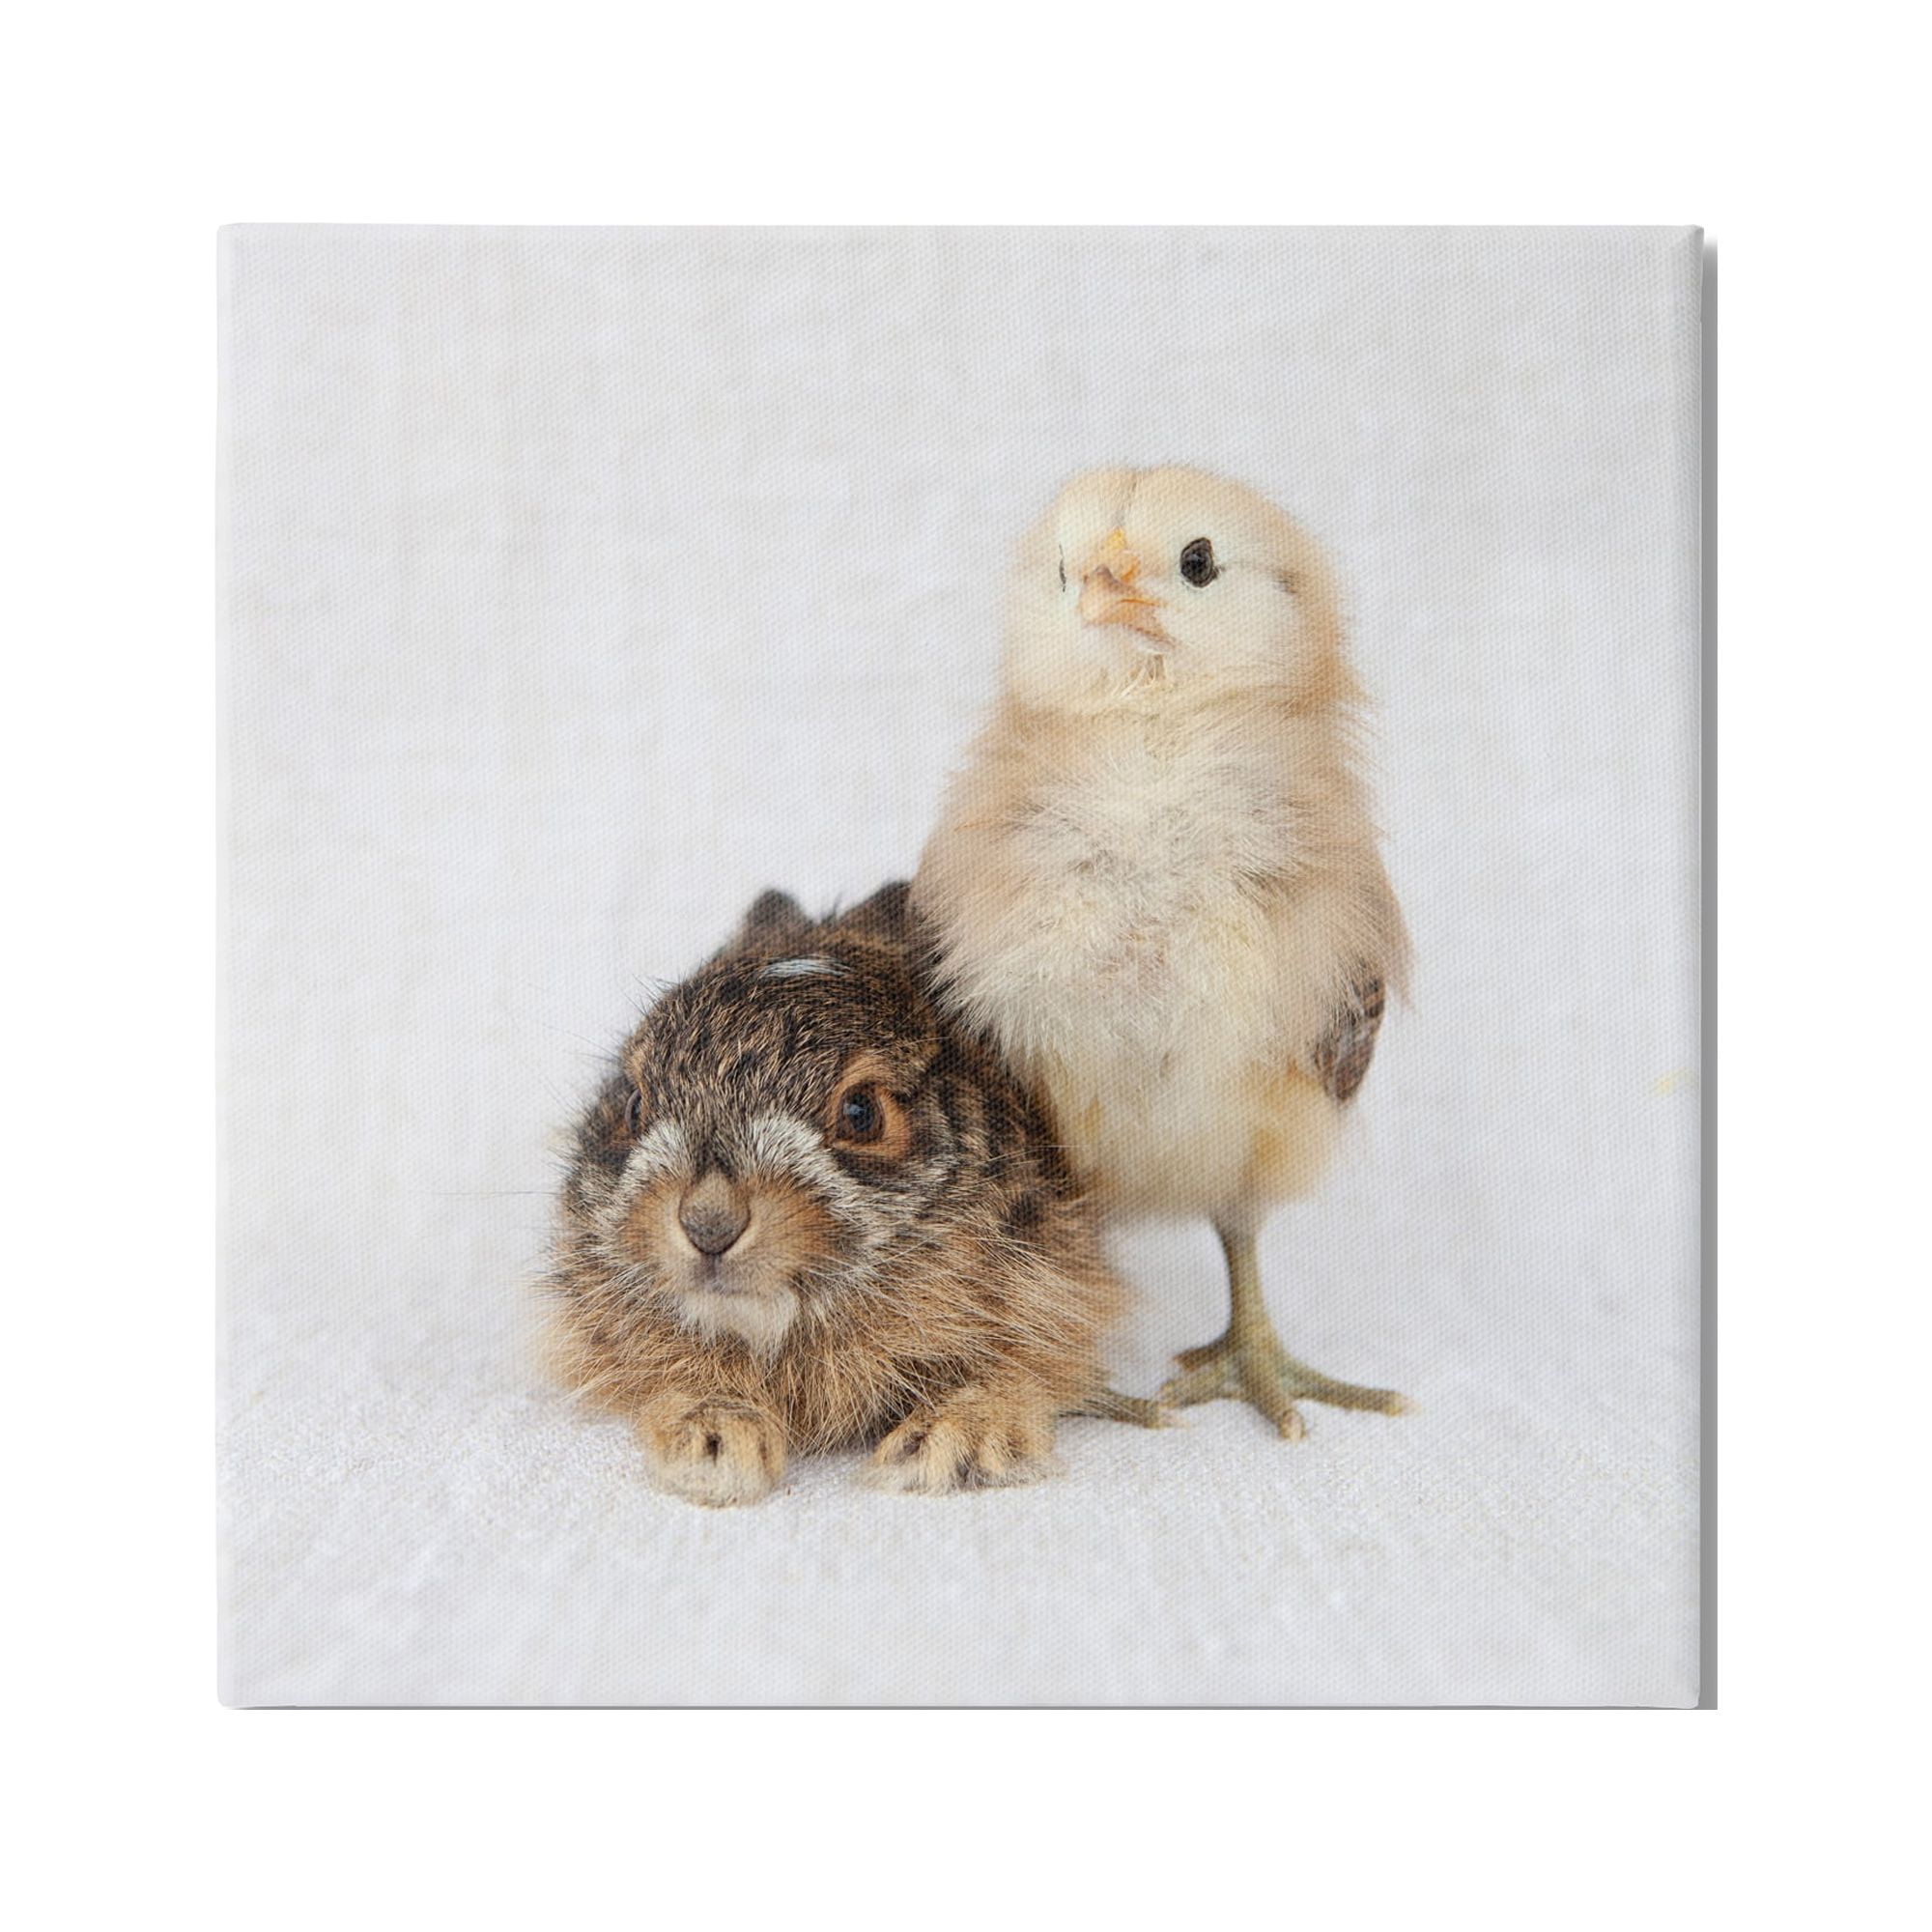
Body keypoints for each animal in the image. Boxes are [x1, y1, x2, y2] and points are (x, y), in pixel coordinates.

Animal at [543, 881, 1129, 1506]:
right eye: (634, 1107)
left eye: (861, 1113)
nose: (709, 1225)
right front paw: (713, 1448)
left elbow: (1012, 1372)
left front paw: (948, 1448)